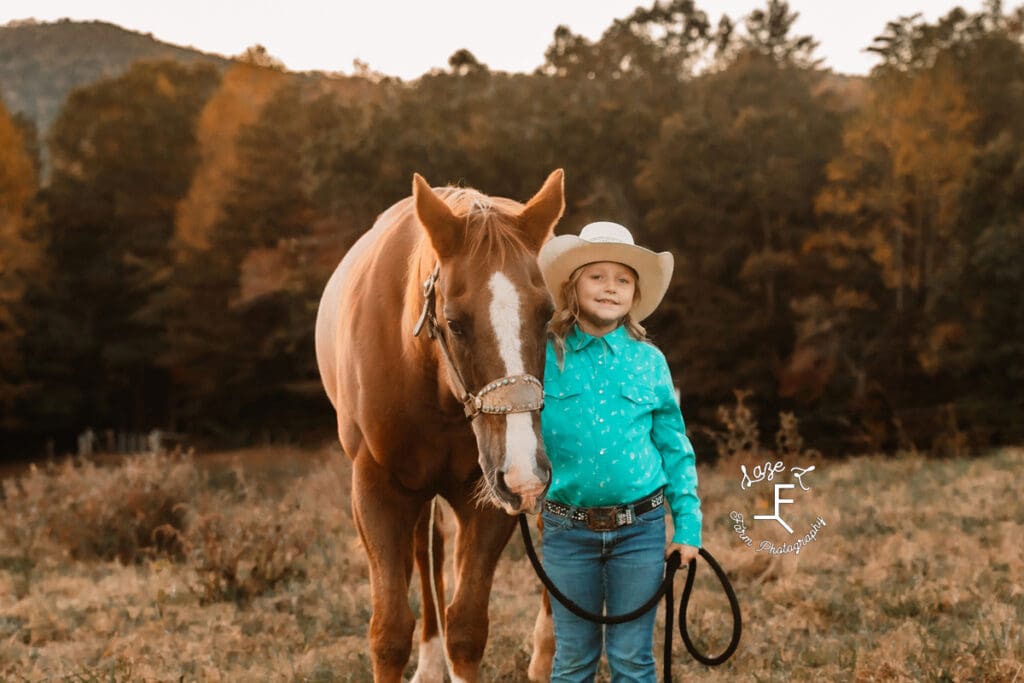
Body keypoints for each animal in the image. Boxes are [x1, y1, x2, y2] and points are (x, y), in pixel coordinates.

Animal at [315, 171, 565, 683]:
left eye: (546, 314)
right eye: (455, 322)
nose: (523, 473)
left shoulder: (488, 496)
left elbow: (467, 628)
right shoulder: (377, 490)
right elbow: (389, 633)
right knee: (426, 548)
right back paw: (431, 664)